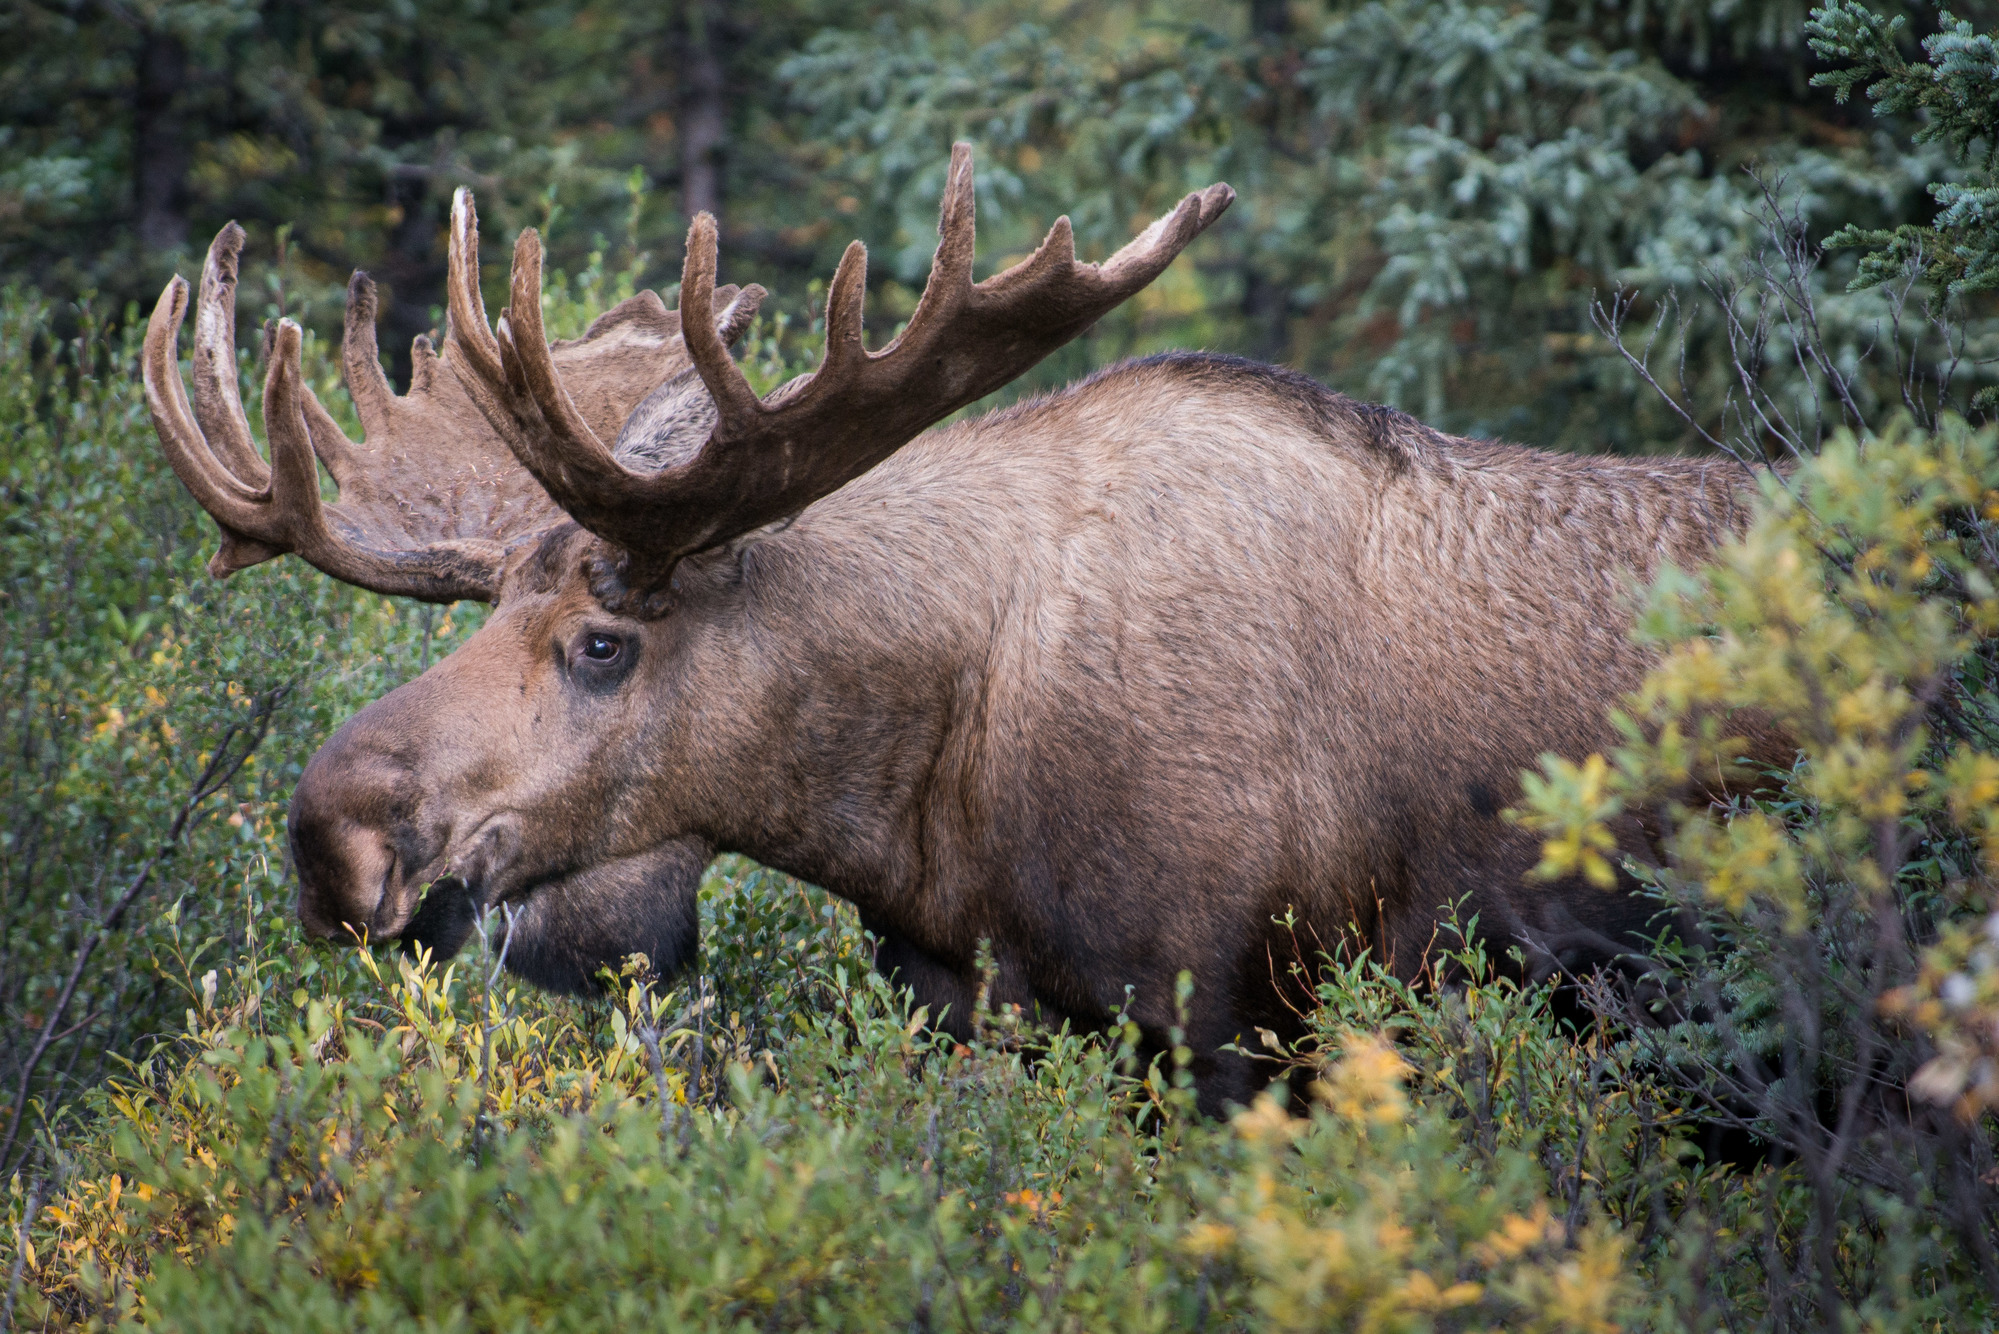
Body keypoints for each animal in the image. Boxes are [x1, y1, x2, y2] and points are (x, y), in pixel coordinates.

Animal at [142, 145, 1769, 1112]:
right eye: (483, 610)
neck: (925, 812)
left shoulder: (1237, 1025)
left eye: (603, 642)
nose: (334, 838)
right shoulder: (966, 1007)